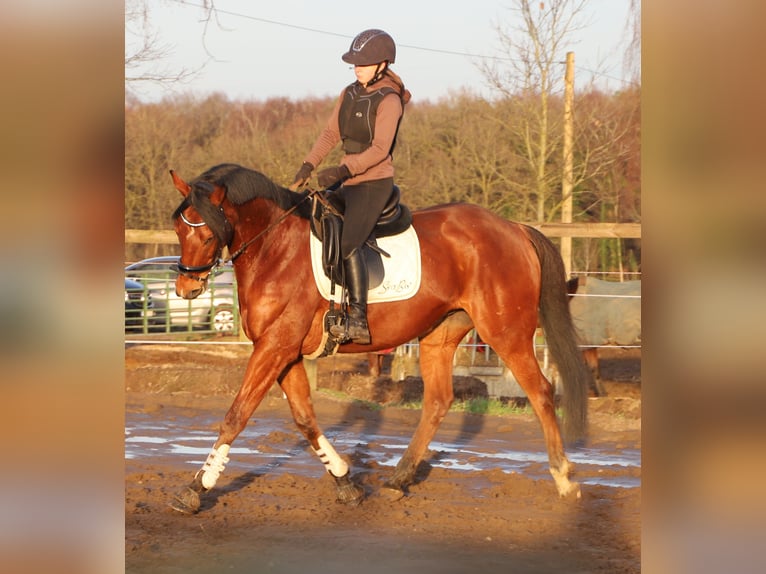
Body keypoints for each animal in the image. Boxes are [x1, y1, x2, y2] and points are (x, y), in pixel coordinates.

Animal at [166, 163, 594, 513]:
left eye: (207, 234)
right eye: (179, 229)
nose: (187, 288)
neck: (276, 248)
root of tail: (513, 228)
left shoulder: (275, 347)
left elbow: (236, 415)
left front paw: (195, 489)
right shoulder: (283, 351)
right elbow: (304, 418)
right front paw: (344, 481)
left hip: (506, 332)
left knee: (540, 391)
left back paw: (563, 477)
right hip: (440, 334)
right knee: (438, 401)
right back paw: (398, 479)